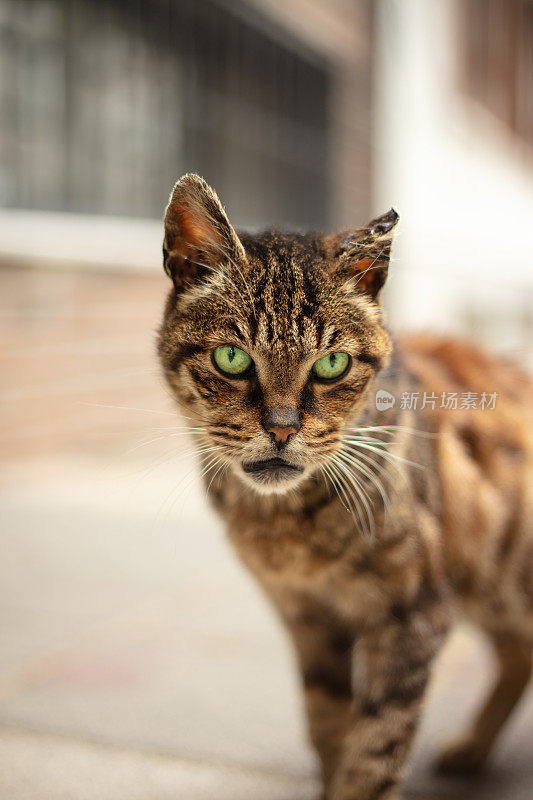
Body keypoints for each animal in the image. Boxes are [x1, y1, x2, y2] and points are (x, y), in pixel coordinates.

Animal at [156, 175, 528, 800]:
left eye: (331, 364)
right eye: (231, 357)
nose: (282, 429)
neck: (289, 530)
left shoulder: (413, 617)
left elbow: (374, 748)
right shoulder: (308, 622)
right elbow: (328, 727)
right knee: (516, 653)